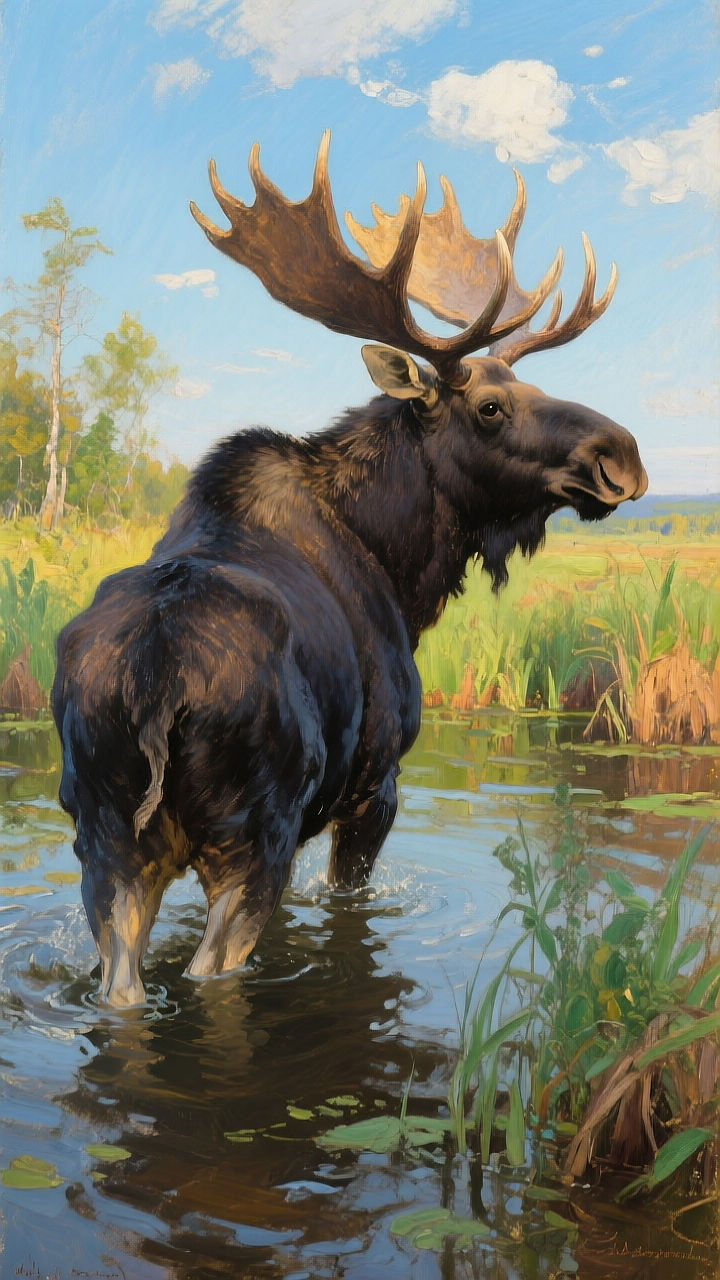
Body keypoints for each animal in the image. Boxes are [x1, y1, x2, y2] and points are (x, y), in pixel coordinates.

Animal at [52, 132, 647, 1006]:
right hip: (249, 835)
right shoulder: (375, 785)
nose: (622, 457)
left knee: (121, 987)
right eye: (490, 407)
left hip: (105, 839)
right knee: (213, 976)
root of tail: (158, 680)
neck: (402, 569)